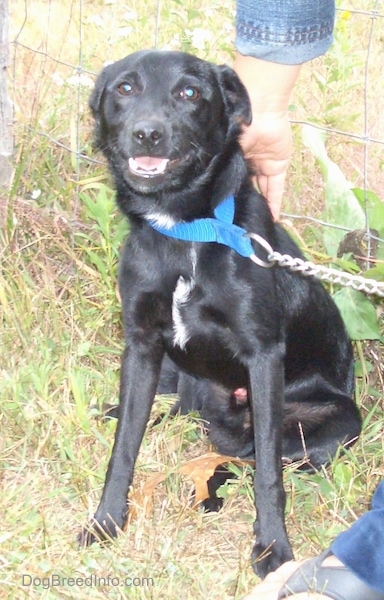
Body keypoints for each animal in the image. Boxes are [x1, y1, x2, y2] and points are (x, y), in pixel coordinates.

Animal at [79, 51, 362, 576]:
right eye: (125, 88)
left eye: (190, 93)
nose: (147, 133)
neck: (183, 229)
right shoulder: (142, 345)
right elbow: (124, 446)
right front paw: (106, 521)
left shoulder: (264, 357)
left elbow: (267, 472)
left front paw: (273, 547)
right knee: (176, 414)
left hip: (337, 422)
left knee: (251, 455)